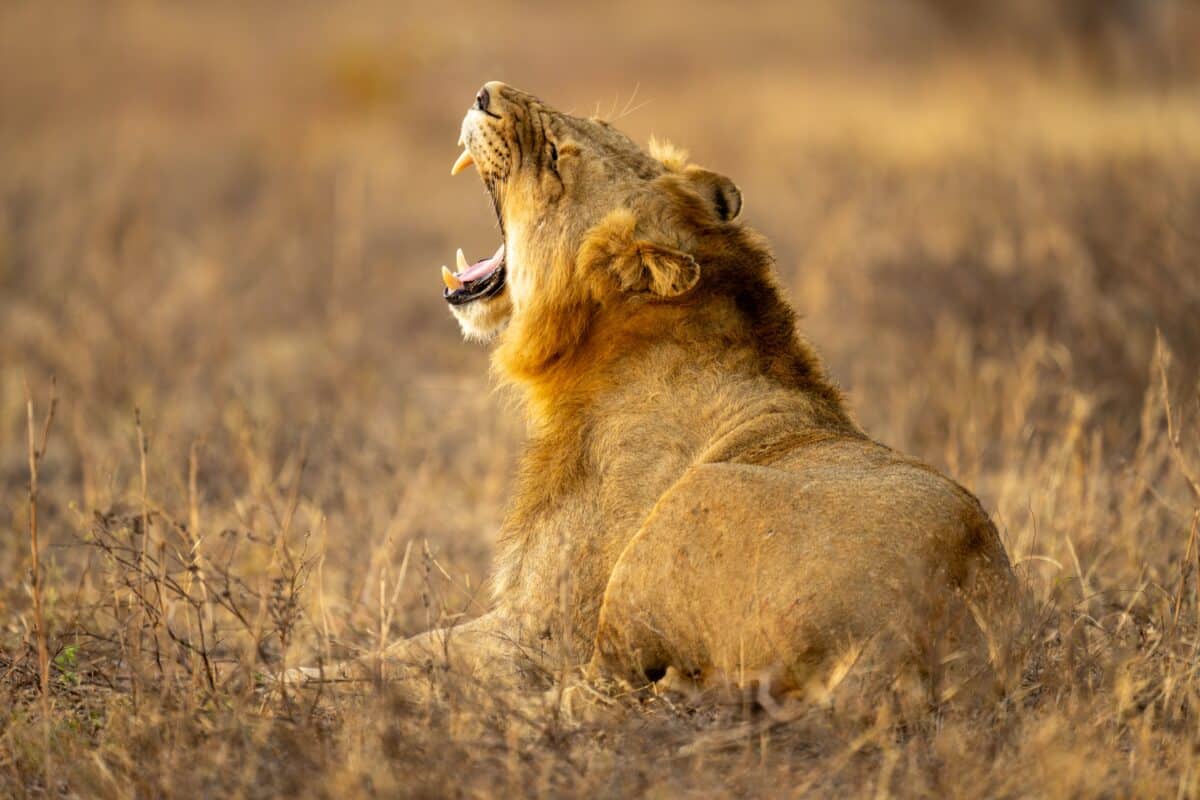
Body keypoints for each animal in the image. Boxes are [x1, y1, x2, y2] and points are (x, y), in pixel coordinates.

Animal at [298, 82, 1018, 701]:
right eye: (599, 120)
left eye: (556, 158)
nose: (486, 91)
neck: (596, 348)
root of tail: (912, 623)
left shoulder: (539, 628)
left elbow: (399, 657)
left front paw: (286, 689)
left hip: (685, 510)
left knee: (596, 698)